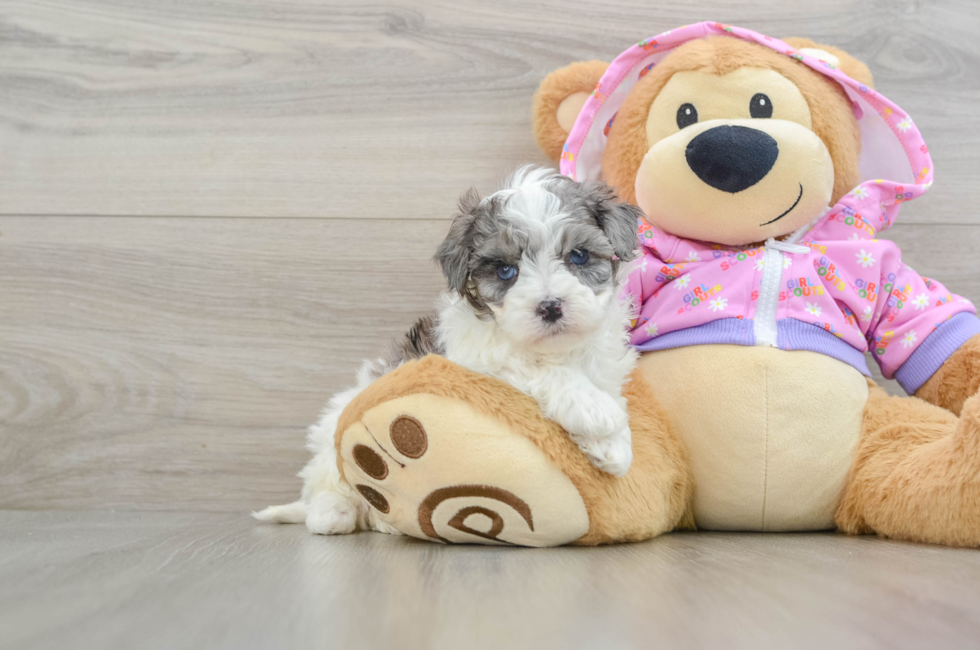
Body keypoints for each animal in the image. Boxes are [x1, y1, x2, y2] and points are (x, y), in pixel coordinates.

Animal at [255, 166, 644, 532]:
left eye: (578, 256)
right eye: (506, 270)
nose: (550, 307)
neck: (558, 349)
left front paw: (613, 446)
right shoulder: (475, 361)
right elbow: (532, 367)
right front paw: (595, 410)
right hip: (334, 432)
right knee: (328, 480)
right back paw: (333, 513)